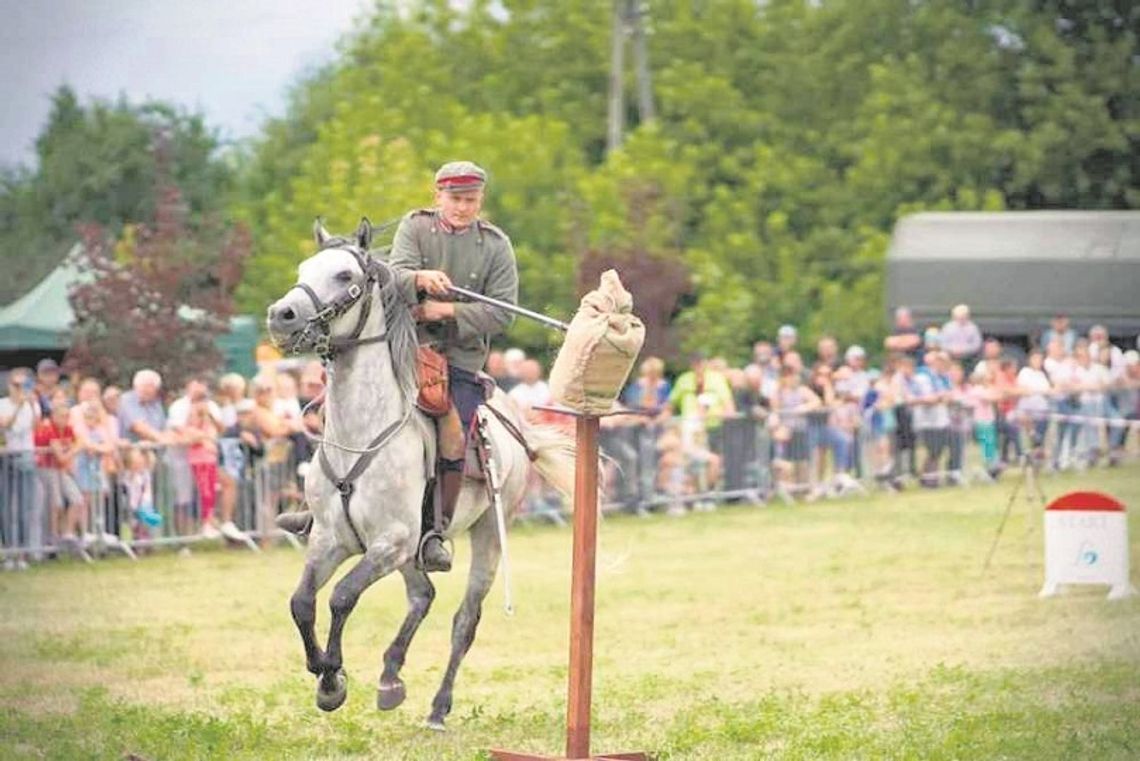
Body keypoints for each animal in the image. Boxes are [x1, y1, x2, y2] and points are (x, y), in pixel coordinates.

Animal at [267, 221, 579, 729]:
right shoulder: (330, 539)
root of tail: (512, 415)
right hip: (414, 550)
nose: (282, 315)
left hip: (486, 535)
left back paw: (437, 707)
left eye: (344, 275)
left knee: (464, 620)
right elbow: (302, 602)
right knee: (422, 595)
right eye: (302, 269)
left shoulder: (389, 543)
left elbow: (341, 597)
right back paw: (391, 677)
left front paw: (332, 677)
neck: (363, 431)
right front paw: (324, 674)